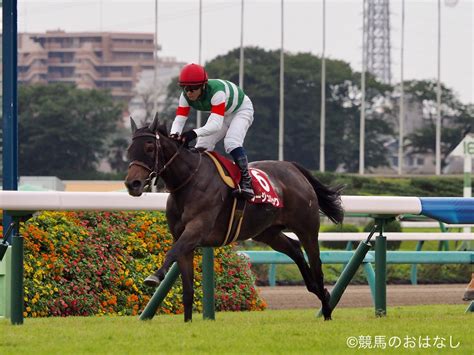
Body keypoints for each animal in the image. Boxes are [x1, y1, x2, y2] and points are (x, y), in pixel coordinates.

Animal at [124, 117, 342, 322]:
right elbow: (187, 289)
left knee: (316, 264)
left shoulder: (196, 230)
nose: (132, 184)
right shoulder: (183, 238)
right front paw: (187, 322)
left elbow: (171, 252)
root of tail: (293, 168)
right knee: (294, 249)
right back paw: (319, 291)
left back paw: (327, 310)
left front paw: (154, 276)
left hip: (307, 228)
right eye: (130, 149)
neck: (189, 181)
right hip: (266, 232)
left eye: (149, 148)